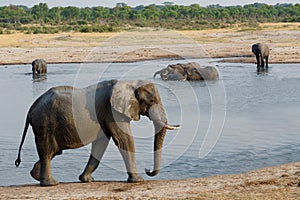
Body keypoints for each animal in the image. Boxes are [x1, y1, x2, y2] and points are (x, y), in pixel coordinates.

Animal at [15, 79, 179, 186]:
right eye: (152, 101)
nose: (147, 170)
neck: (129, 83)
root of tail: (32, 108)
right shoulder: (112, 111)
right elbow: (124, 140)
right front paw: (138, 180)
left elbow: (101, 144)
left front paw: (86, 180)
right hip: (45, 124)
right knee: (48, 151)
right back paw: (51, 183)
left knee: (52, 152)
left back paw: (36, 176)